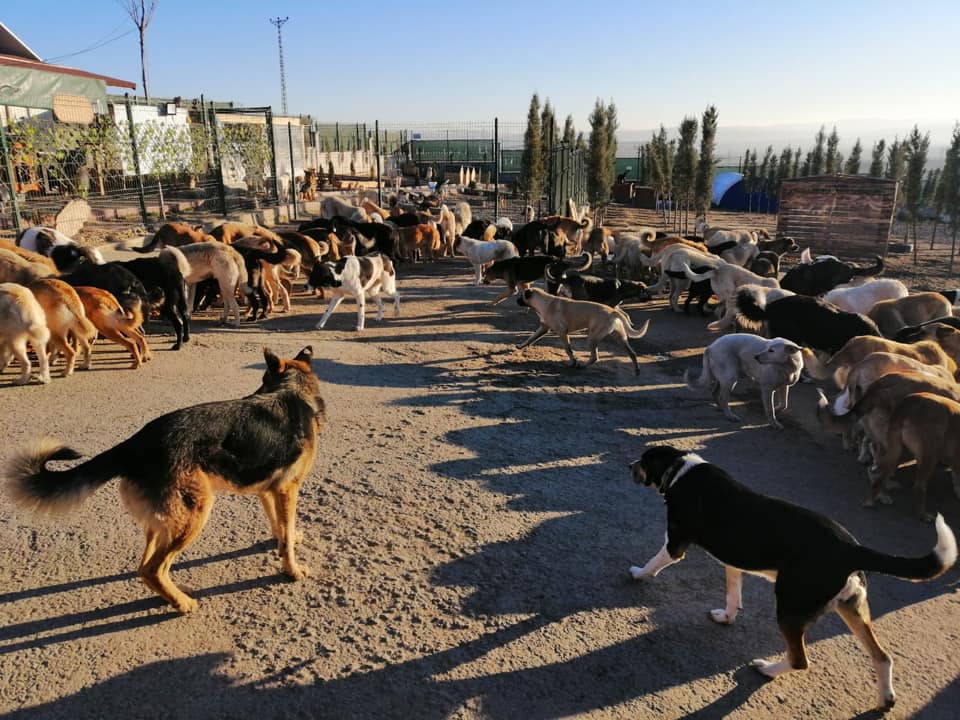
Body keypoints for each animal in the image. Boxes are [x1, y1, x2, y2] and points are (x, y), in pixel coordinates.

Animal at [4, 347, 325, 613]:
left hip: (163, 522)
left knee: (144, 567)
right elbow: (286, 537)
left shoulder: (270, 491)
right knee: (153, 569)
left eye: (263, 379)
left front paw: (284, 538)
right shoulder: (287, 490)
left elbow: (280, 526)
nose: (251, 393)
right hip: (194, 514)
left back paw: (173, 594)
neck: (292, 390)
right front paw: (292, 570)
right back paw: (182, 604)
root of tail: (135, 443)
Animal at [515, 287, 650, 374]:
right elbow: (531, 338)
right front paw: (521, 346)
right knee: (632, 353)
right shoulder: (543, 328)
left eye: (521, 296)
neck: (545, 302)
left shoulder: (562, 332)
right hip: (620, 338)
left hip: (592, 338)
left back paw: (582, 366)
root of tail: (613, 311)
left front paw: (574, 362)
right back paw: (637, 370)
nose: (516, 300)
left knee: (594, 357)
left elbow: (568, 349)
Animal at [628, 444, 957, 711]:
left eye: (643, 460)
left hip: (790, 608)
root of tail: (851, 548)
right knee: (883, 656)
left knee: (800, 660)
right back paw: (885, 700)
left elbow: (654, 562)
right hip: (851, 608)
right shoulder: (734, 562)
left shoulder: (675, 545)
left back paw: (768, 669)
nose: (629, 465)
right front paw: (726, 617)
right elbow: (733, 593)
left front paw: (639, 574)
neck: (681, 471)